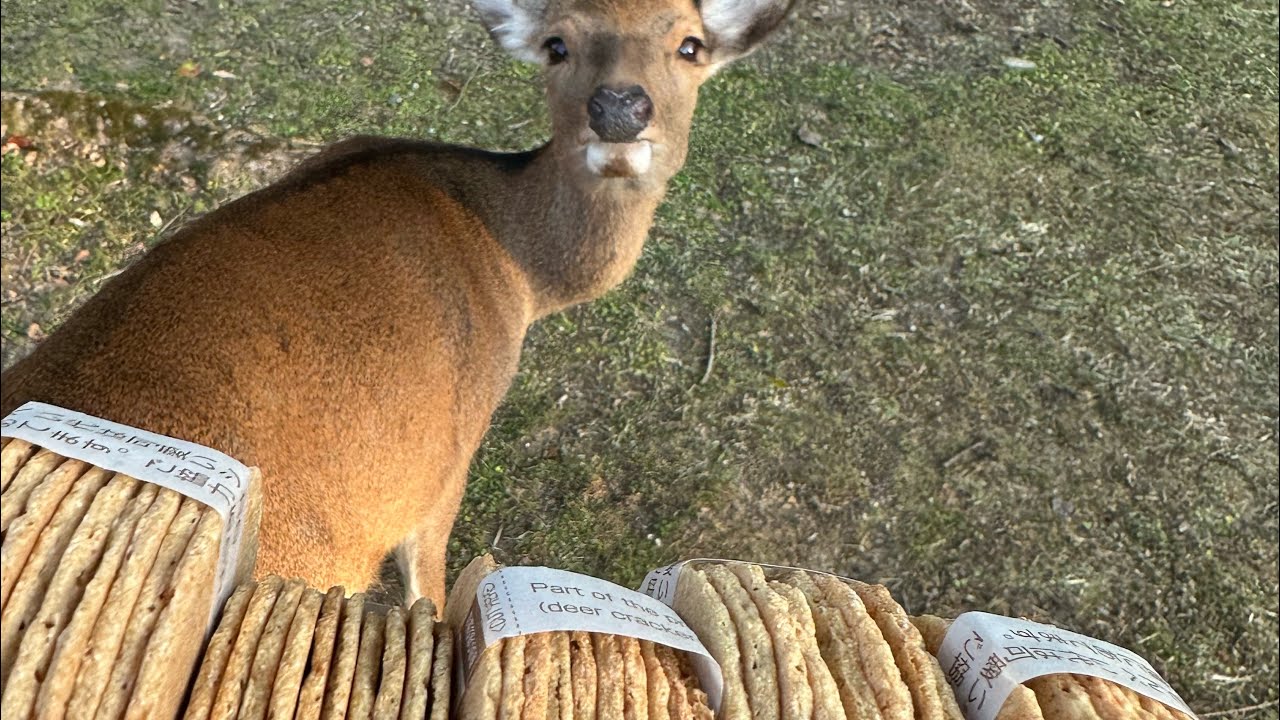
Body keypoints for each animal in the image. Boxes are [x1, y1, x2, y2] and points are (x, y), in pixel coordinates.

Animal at [0, 0, 794, 606]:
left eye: (689, 44)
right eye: (556, 44)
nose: (620, 108)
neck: (524, 277)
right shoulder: (448, 460)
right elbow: (430, 590)